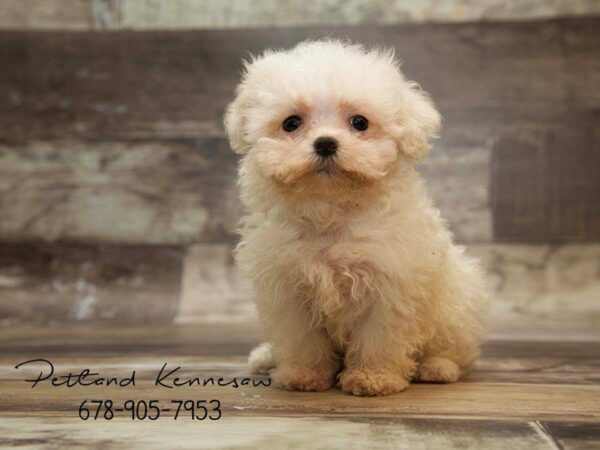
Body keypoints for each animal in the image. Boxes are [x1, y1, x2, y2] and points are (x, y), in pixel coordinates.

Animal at [225, 39, 488, 398]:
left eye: (360, 122)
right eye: (291, 123)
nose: (325, 143)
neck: (332, 211)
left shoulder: (389, 286)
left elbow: (378, 338)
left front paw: (372, 378)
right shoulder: (289, 288)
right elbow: (302, 339)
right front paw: (304, 375)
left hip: (456, 307)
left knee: (455, 349)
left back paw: (436, 367)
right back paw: (266, 357)